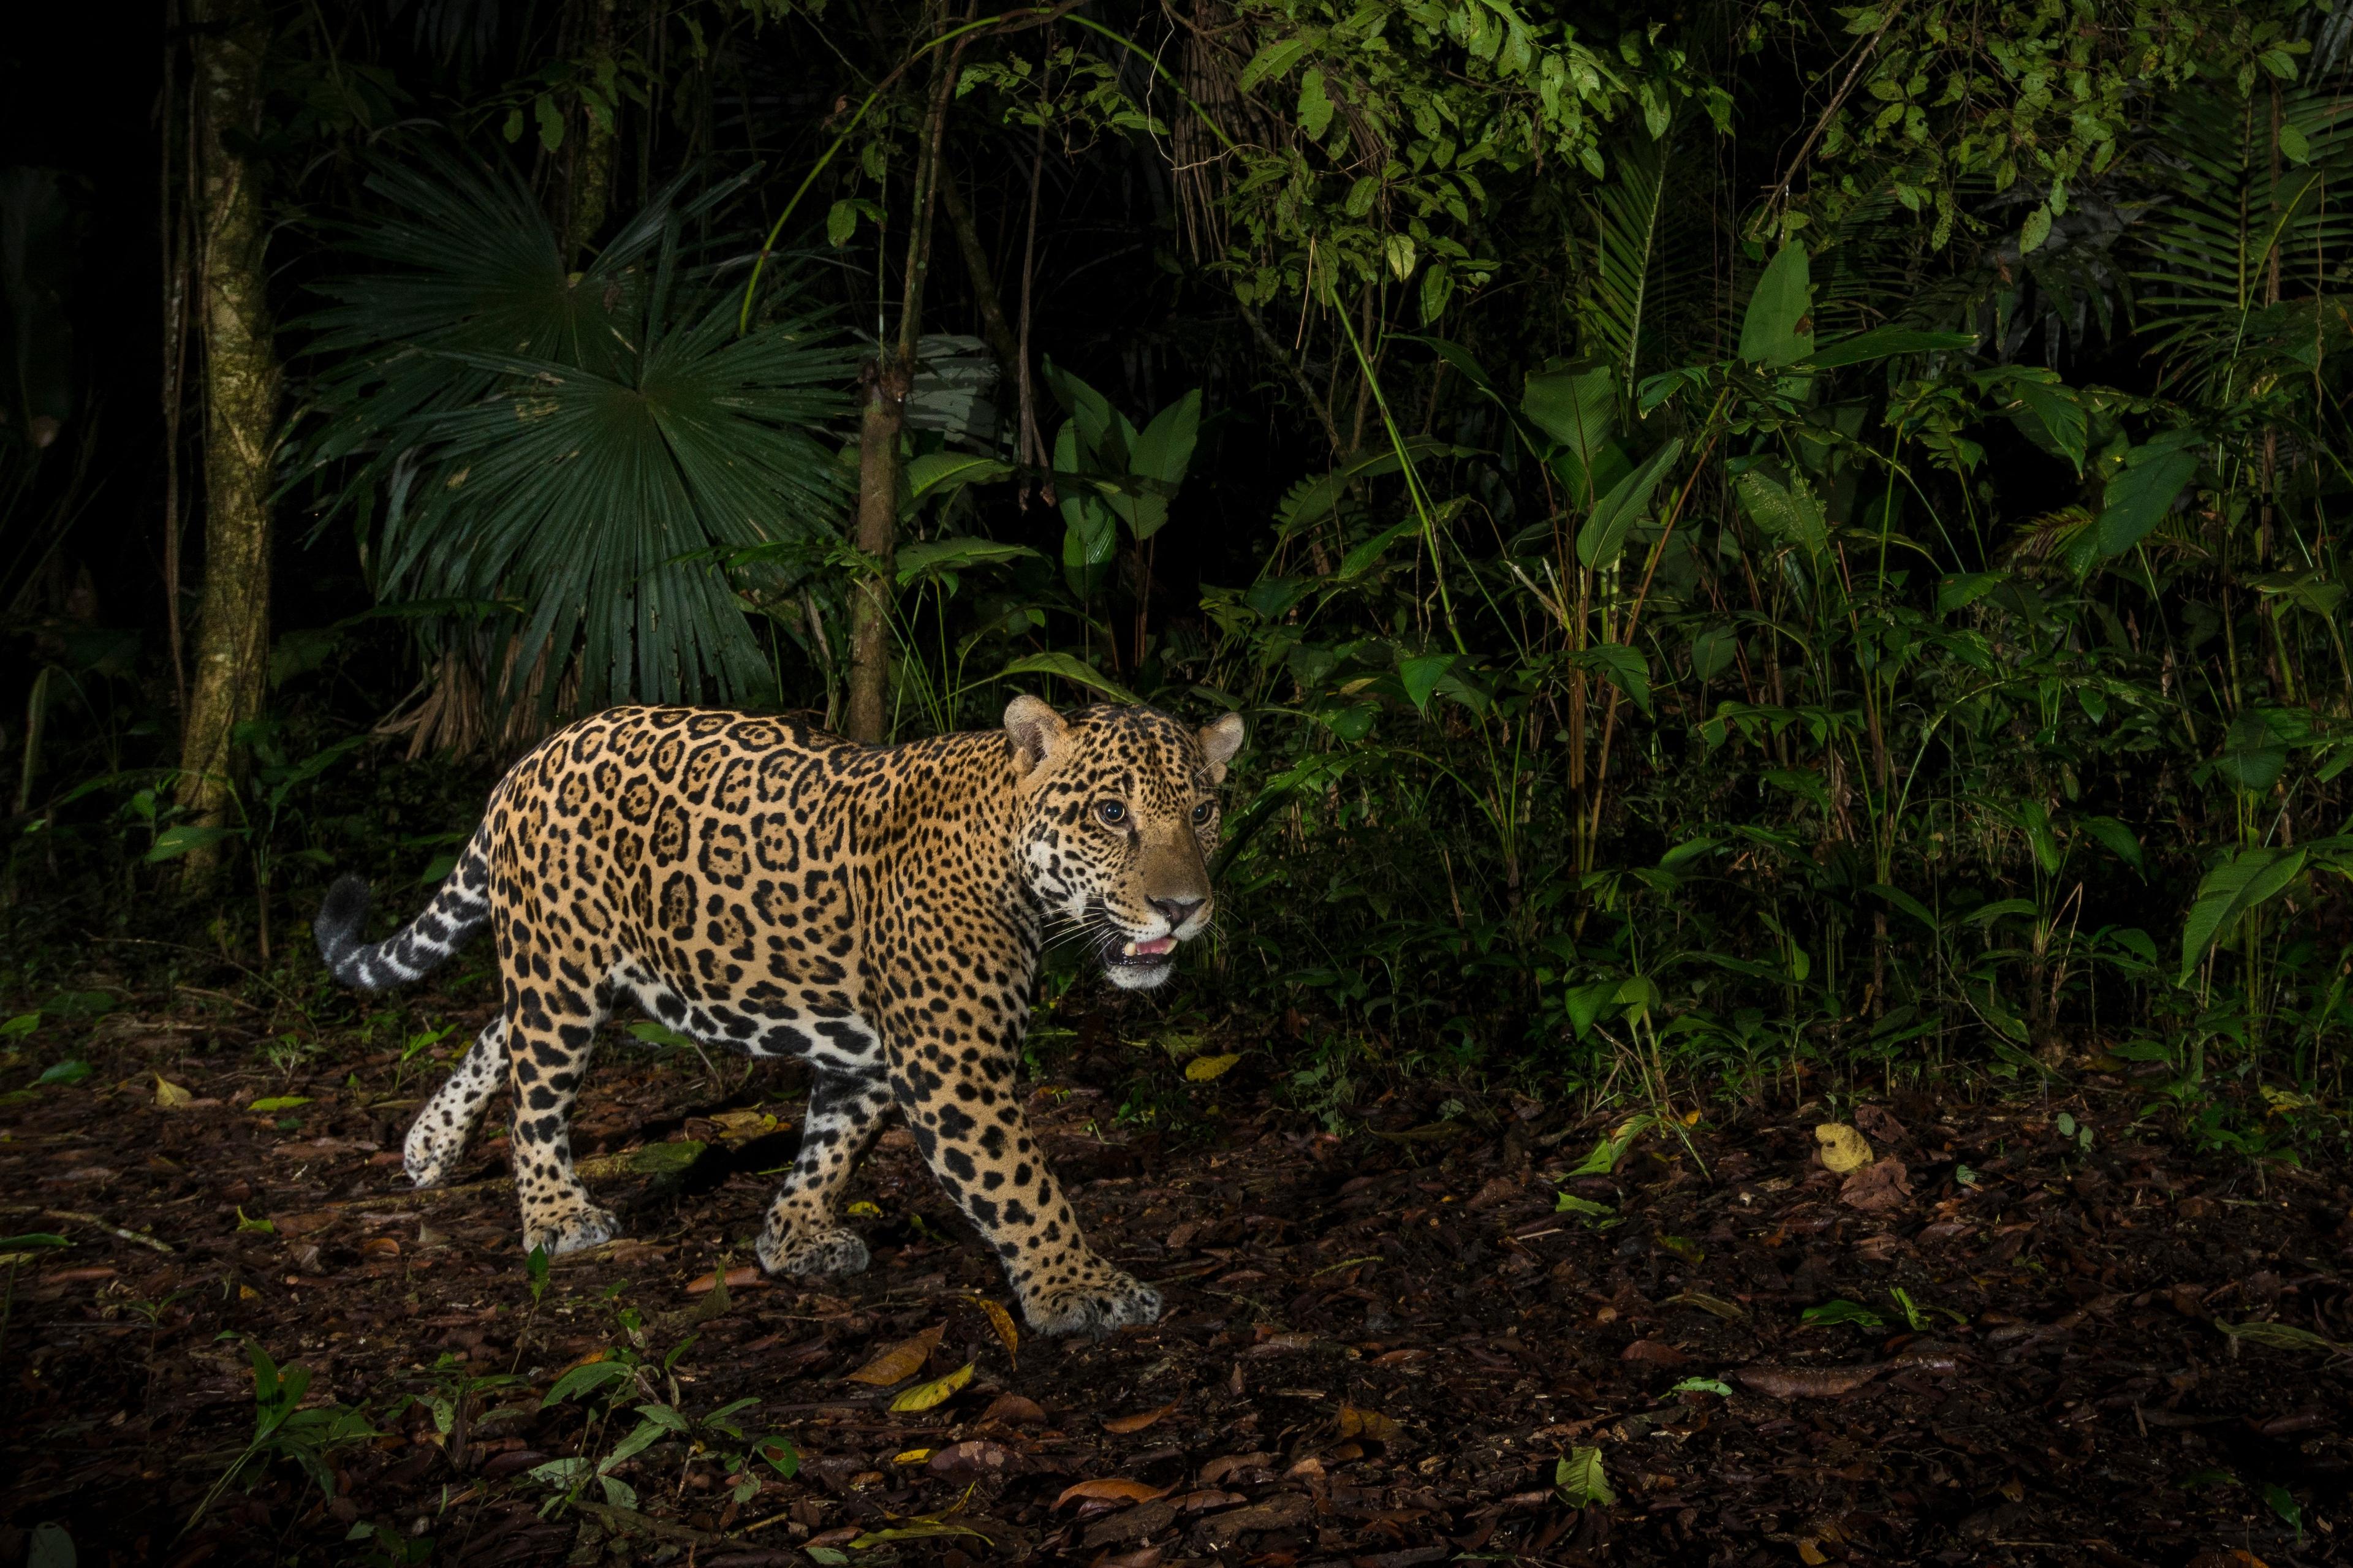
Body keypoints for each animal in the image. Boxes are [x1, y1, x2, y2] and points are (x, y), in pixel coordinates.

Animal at [313, 696, 1244, 1336]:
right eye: (1112, 814)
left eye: (1203, 813)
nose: (1184, 908)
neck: (1004, 850)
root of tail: (532, 756)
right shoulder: (952, 1066)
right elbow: (1023, 1186)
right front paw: (1082, 1288)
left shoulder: (872, 1048)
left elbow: (831, 1145)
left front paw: (793, 1238)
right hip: (563, 974)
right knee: (535, 1100)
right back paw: (555, 1216)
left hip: (570, 969)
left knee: (495, 1030)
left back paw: (429, 1145)